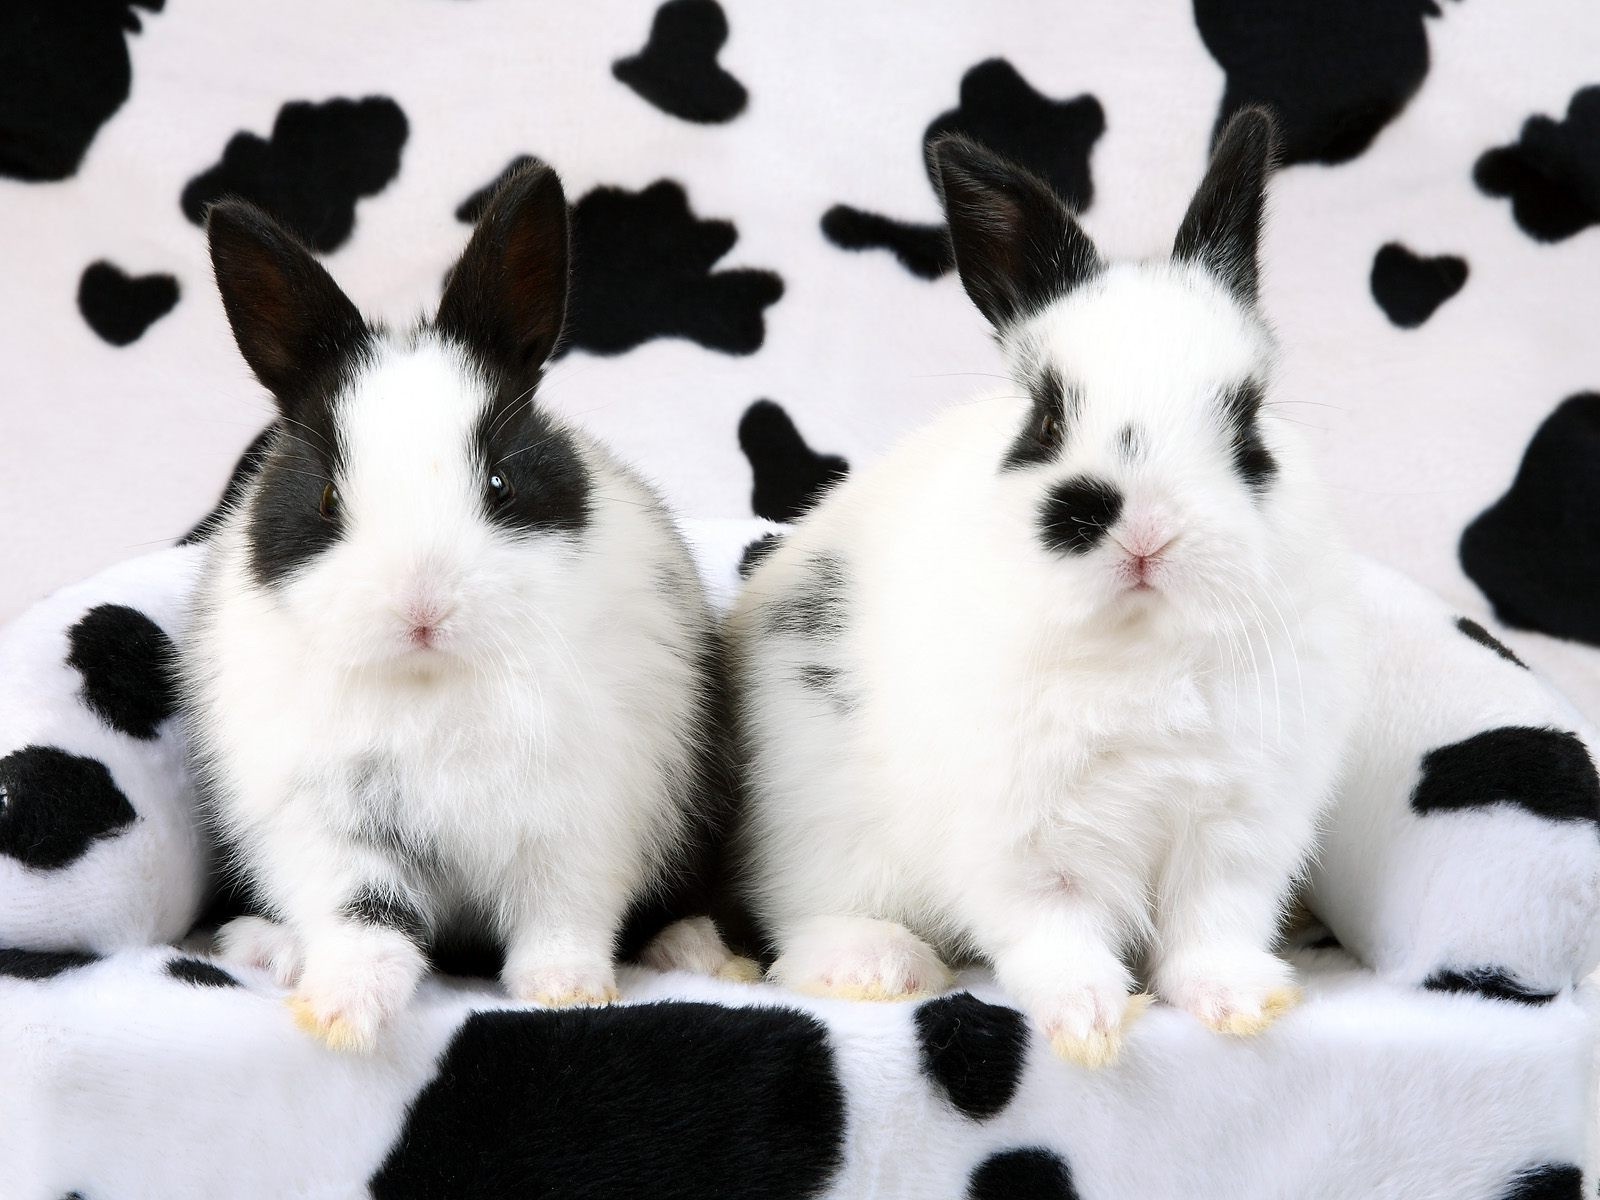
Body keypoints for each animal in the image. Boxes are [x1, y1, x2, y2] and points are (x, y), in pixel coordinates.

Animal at [181, 162, 748, 1049]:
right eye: (328, 500)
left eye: (501, 484)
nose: (422, 608)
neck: (433, 680)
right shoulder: (332, 825)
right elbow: (362, 917)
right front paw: (339, 1013)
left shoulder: (580, 819)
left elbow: (561, 915)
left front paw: (569, 992)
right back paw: (265, 946)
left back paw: (694, 948)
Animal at [732, 110, 1356, 1068]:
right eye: (1047, 418)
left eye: (1247, 421)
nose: (1143, 528)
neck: (1141, 650)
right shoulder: (1028, 842)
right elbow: (1055, 930)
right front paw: (1089, 1023)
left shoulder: (1236, 830)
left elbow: (1212, 925)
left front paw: (1240, 1004)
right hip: (818, 826)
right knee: (800, 923)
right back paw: (877, 966)